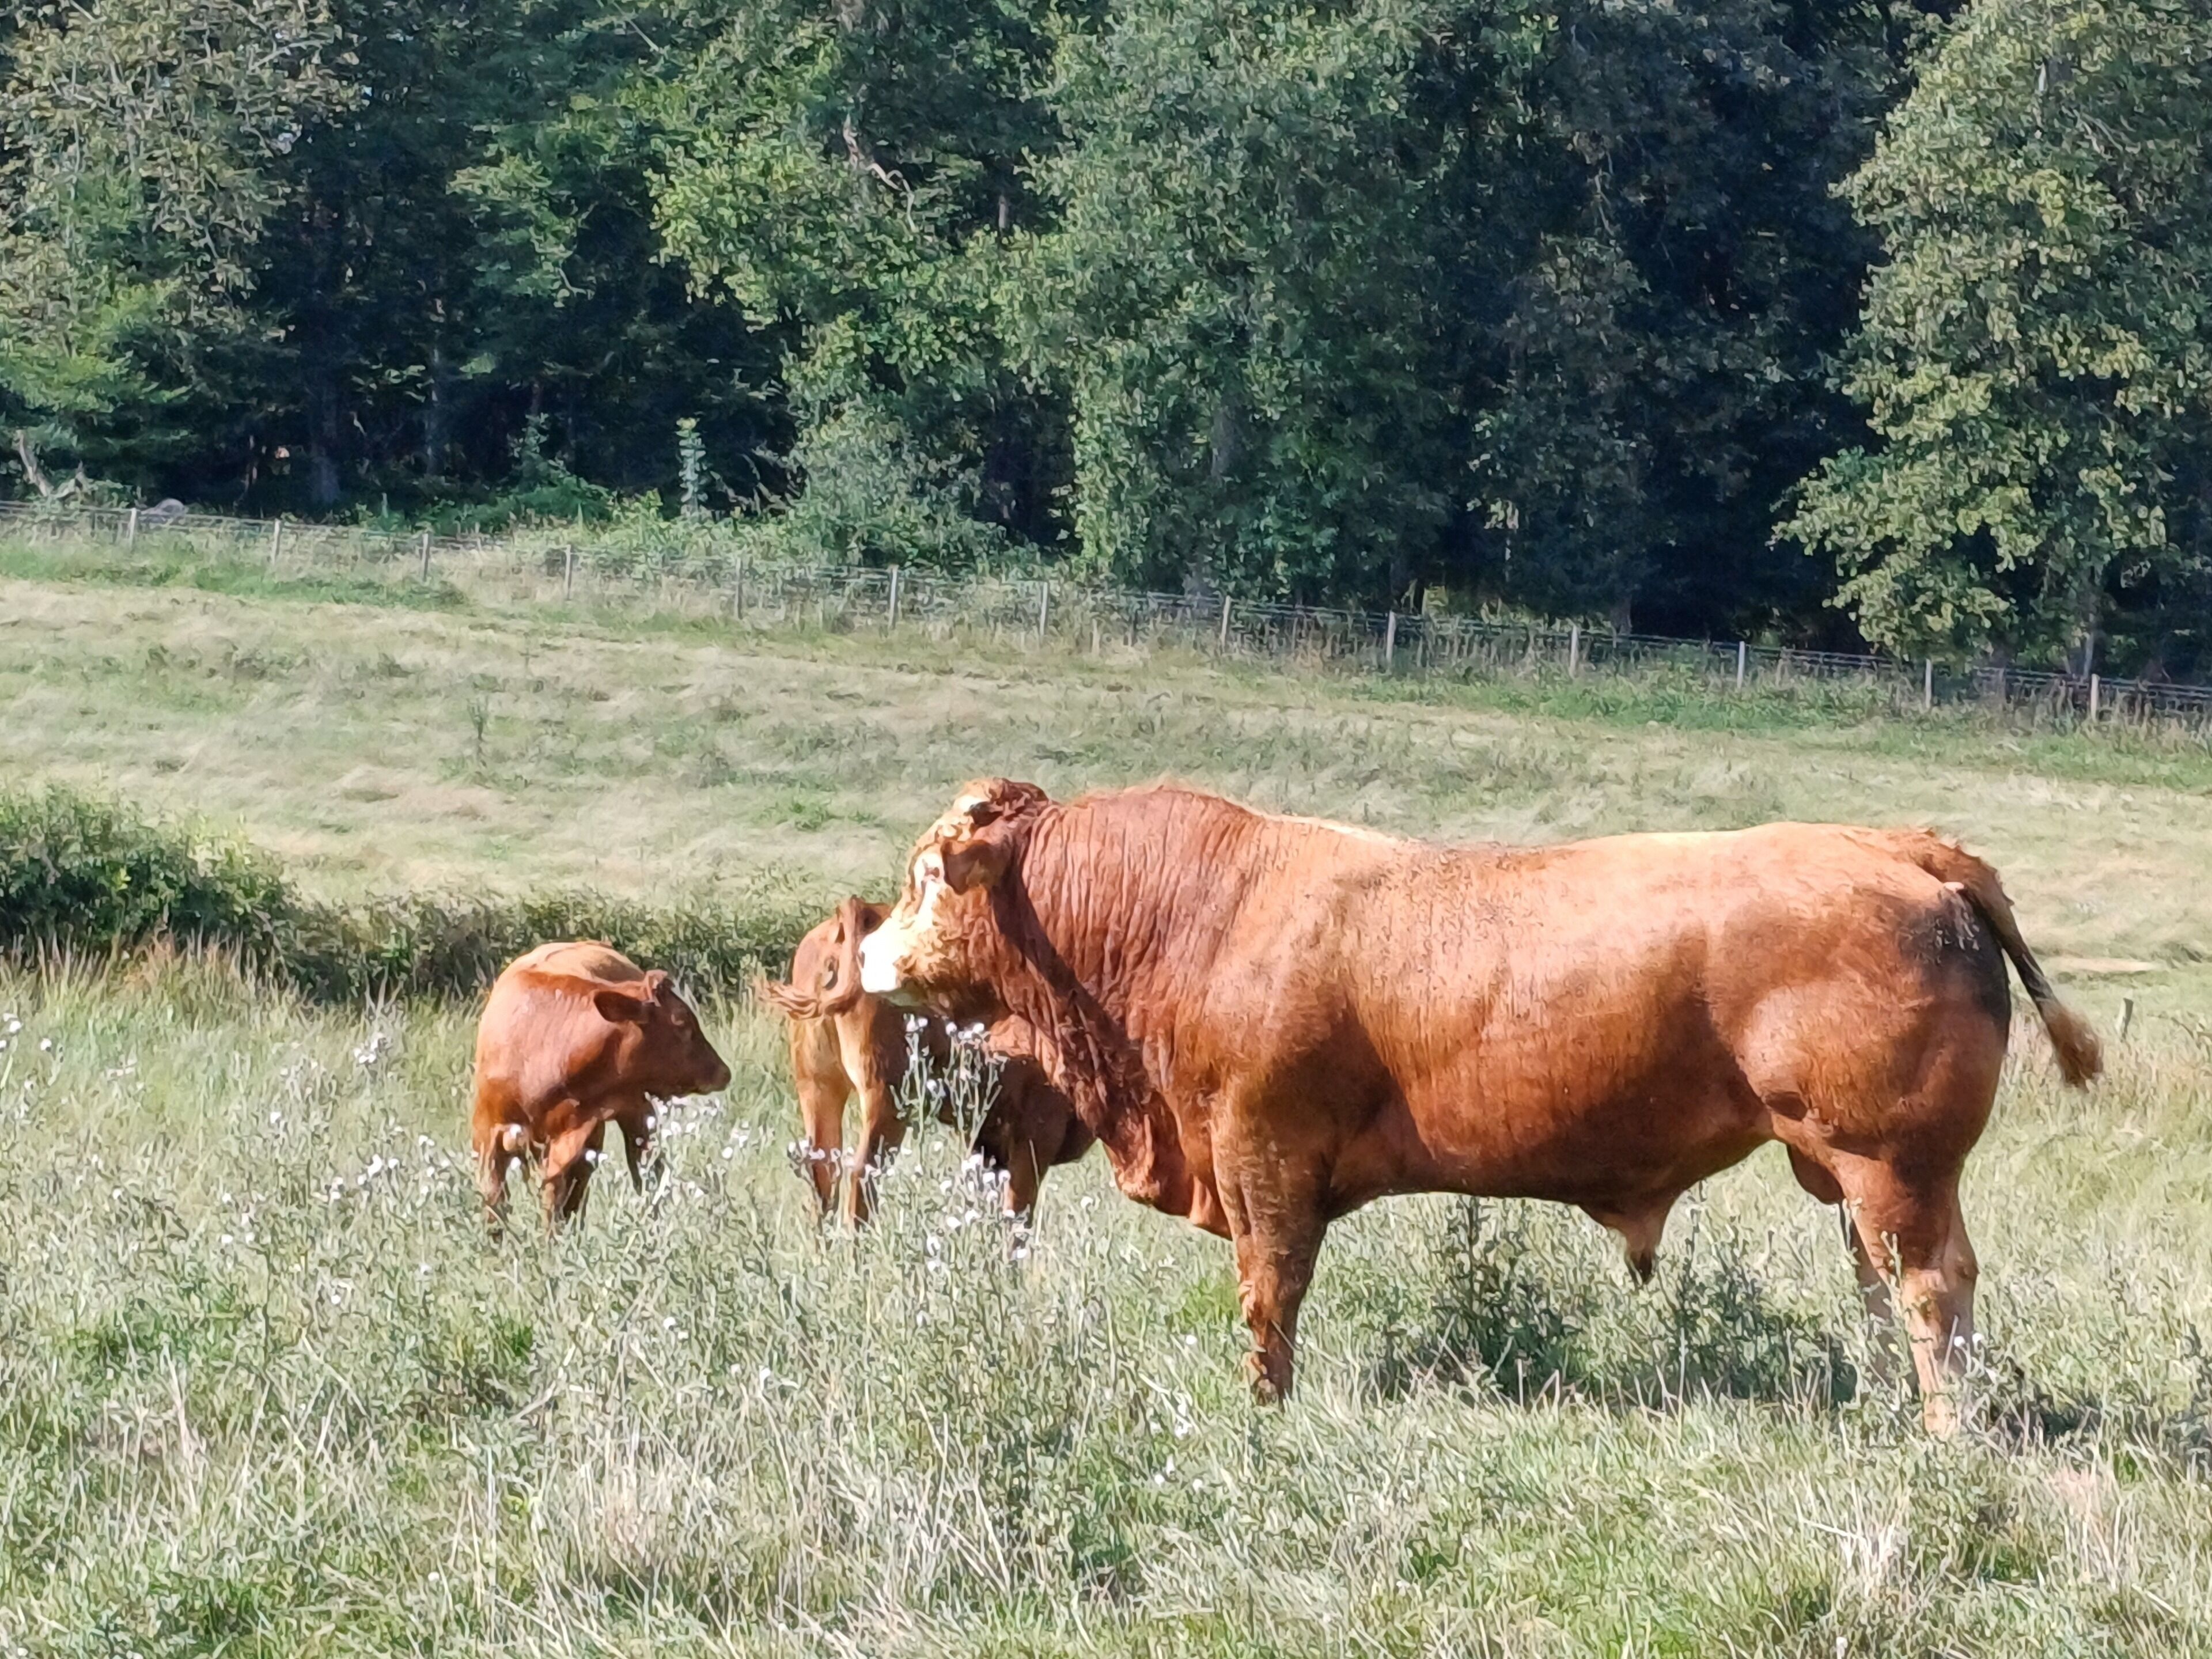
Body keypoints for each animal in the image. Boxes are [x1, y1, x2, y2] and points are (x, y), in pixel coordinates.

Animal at [471, 941, 731, 1229]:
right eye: (682, 1022)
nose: (724, 1072)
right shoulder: (485, 1136)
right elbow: (495, 1207)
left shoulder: (571, 1141)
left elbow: (553, 1204)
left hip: (632, 1114)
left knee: (643, 1169)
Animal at [854, 779, 2102, 1432]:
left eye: (929, 876)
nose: (865, 952)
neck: (1205, 915)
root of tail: (1900, 847)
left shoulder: (1262, 1150)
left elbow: (1270, 1292)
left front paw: (1266, 1407)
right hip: (1853, 1175)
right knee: (1882, 1287)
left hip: (1893, 1162)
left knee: (1933, 1288)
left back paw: (1944, 1431)